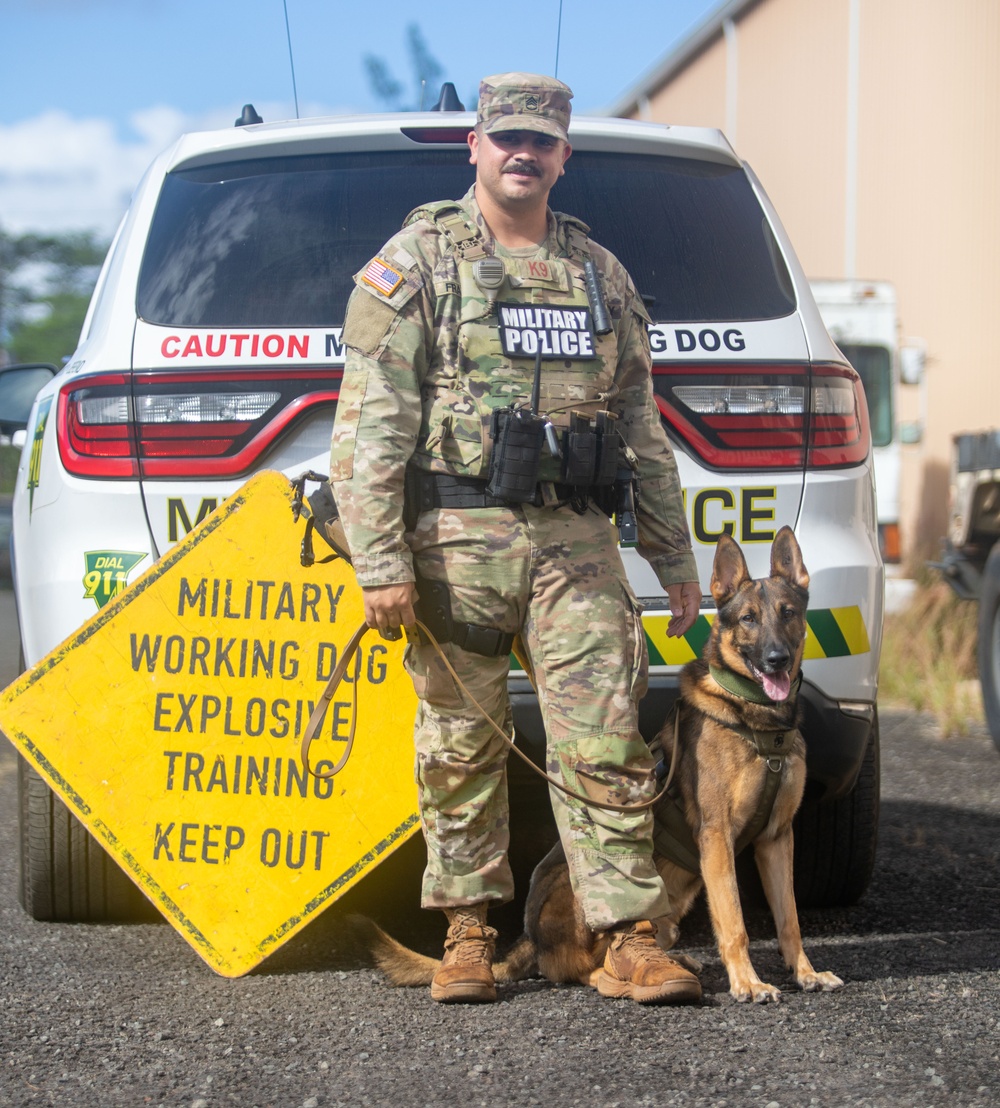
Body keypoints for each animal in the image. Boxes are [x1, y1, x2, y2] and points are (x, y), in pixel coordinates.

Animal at [358, 527, 846, 1006]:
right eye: (747, 619)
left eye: (788, 613)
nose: (777, 659)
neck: (758, 721)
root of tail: (530, 940)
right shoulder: (717, 837)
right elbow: (734, 922)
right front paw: (748, 982)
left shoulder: (777, 838)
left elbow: (790, 919)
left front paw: (805, 973)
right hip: (591, 886)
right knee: (580, 967)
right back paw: (623, 977)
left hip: (667, 915)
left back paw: (672, 964)